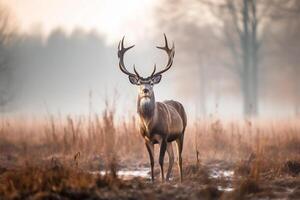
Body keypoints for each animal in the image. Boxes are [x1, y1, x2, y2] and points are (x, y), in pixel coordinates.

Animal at [116, 34, 185, 183]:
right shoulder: (146, 139)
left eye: (152, 82)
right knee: (172, 158)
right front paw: (153, 181)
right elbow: (152, 161)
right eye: (139, 83)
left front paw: (161, 181)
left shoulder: (163, 136)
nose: (146, 90)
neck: (149, 125)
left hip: (181, 133)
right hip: (170, 139)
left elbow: (160, 160)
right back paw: (168, 178)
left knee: (179, 158)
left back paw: (181, 180)